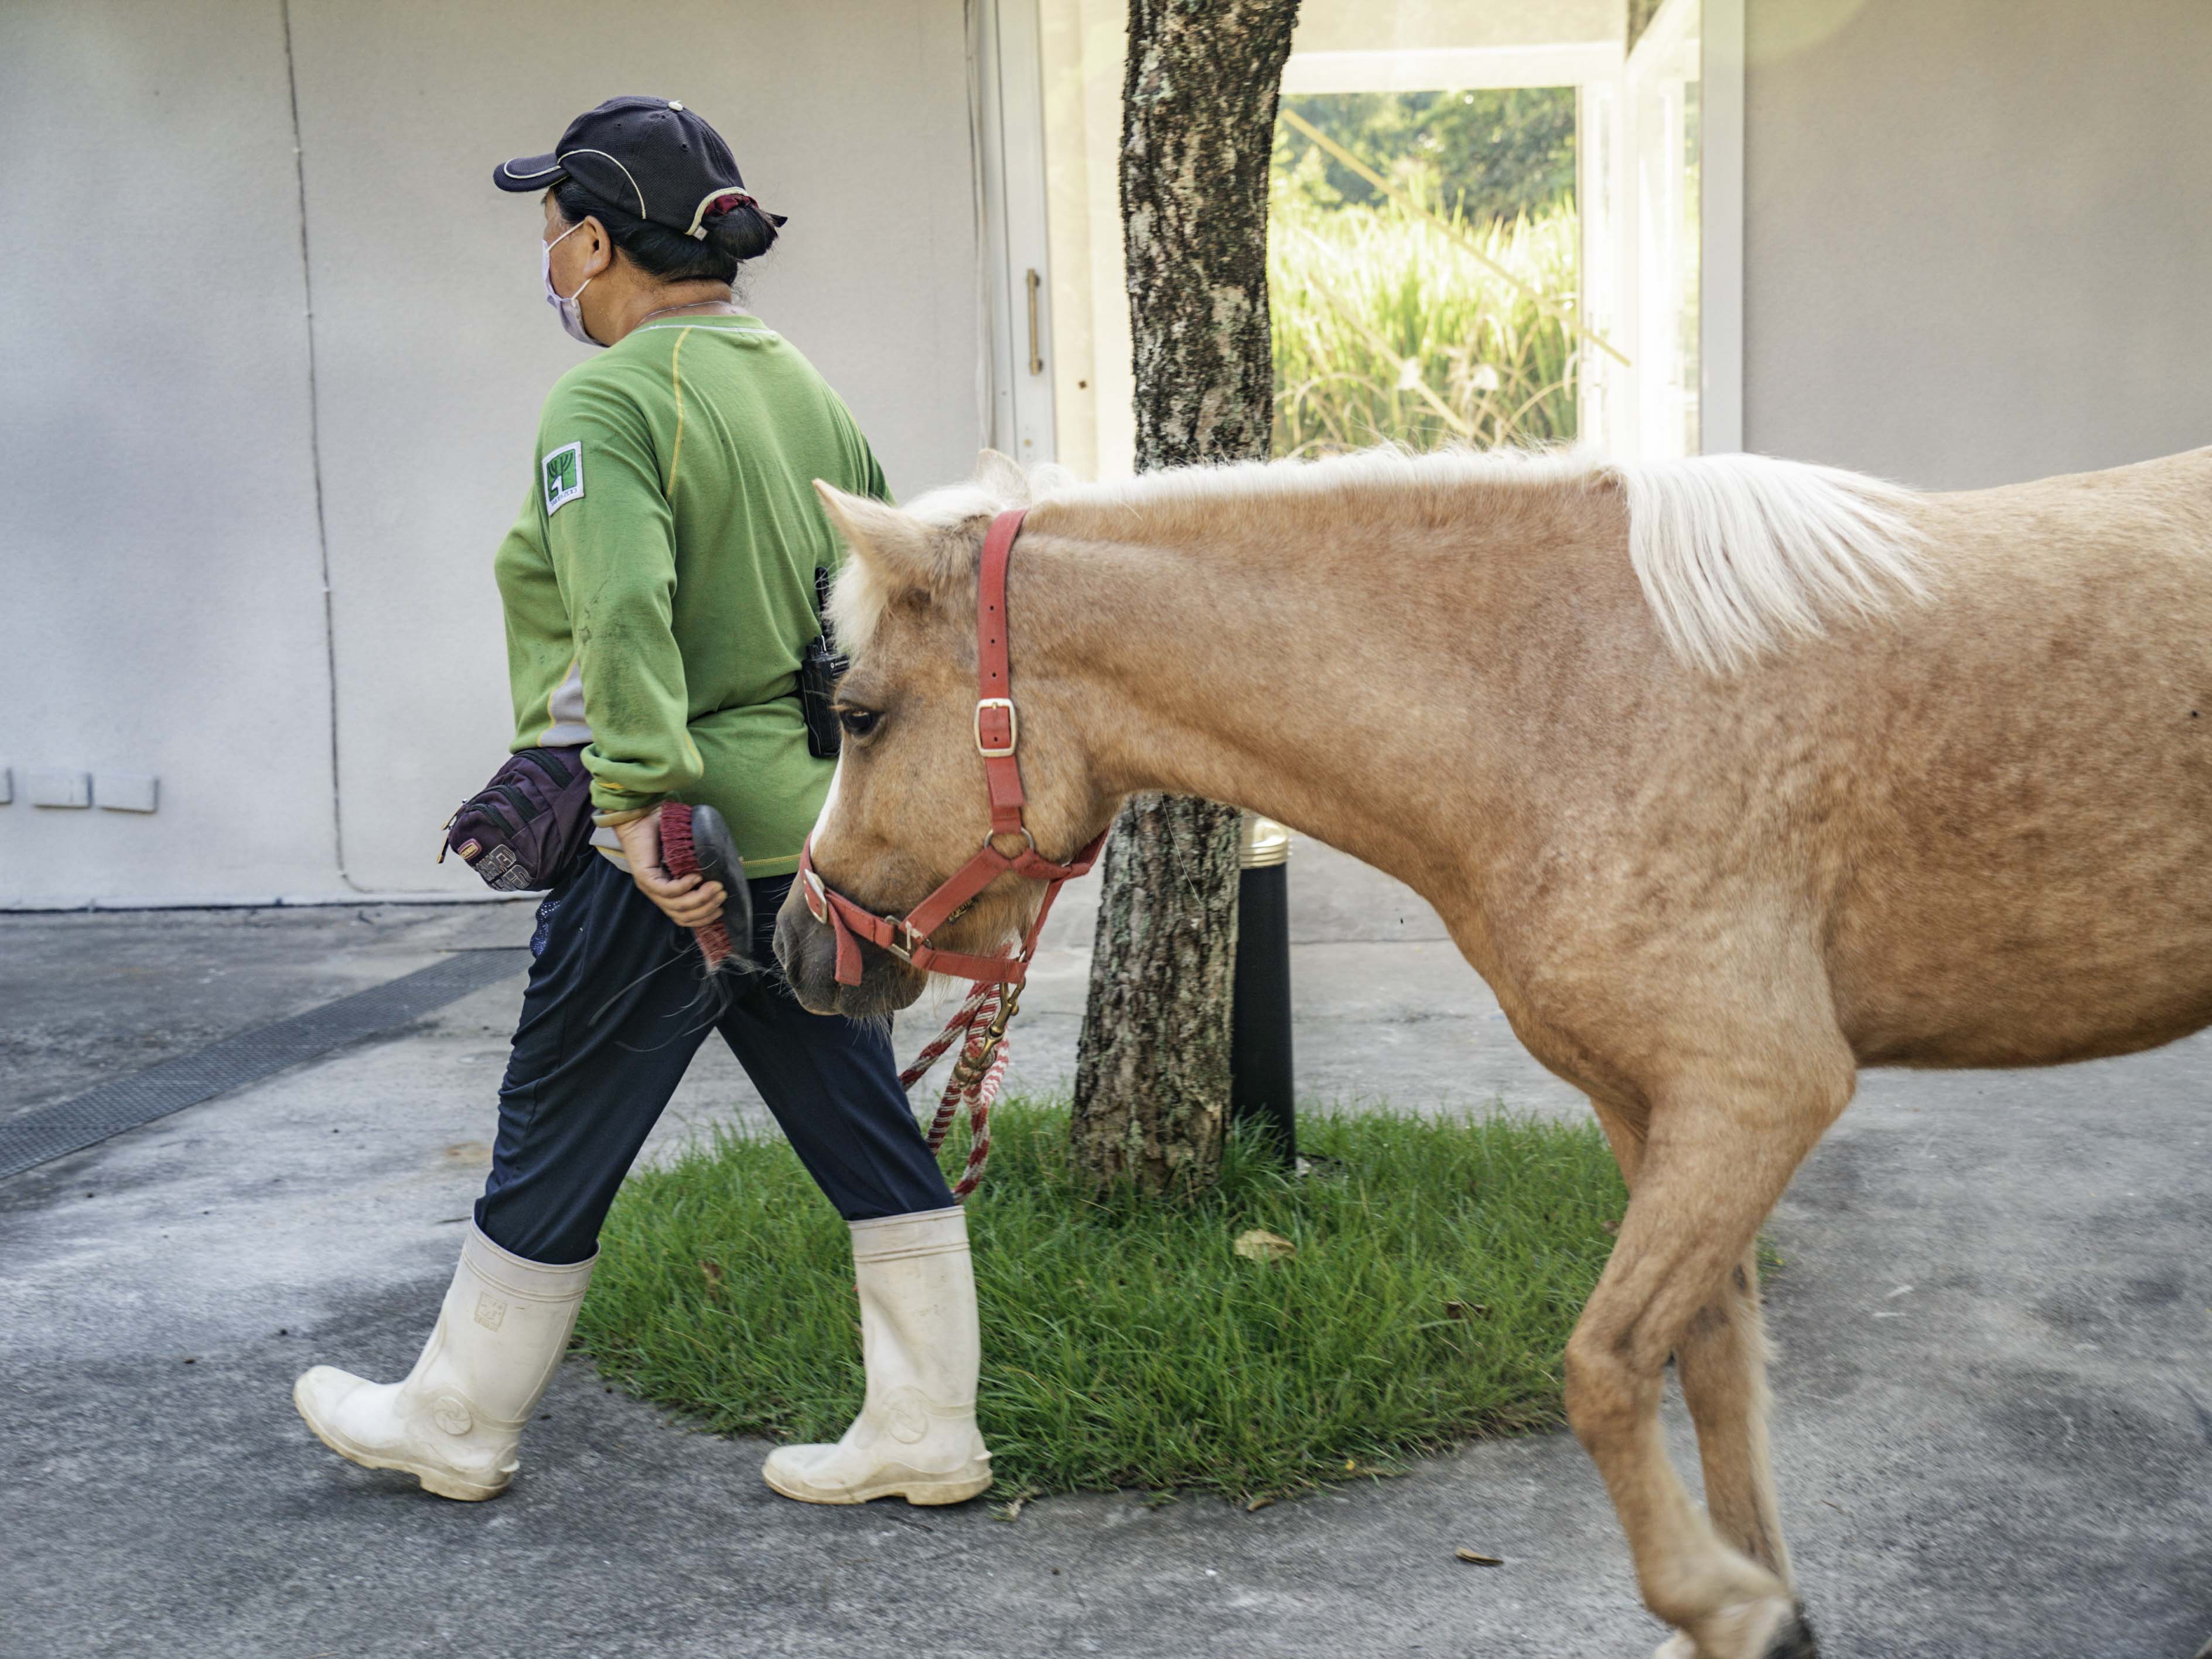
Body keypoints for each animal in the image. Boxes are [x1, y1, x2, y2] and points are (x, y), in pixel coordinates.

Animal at [772, 440, 2212, 1659]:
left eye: (860, 714)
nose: (795, 947)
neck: (1565, 687)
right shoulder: (1650, 1108)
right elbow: (1708, 1360)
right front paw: (1761, 1606)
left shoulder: (1752, 1096)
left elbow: (1603, 1369)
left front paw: (1723, 1603)